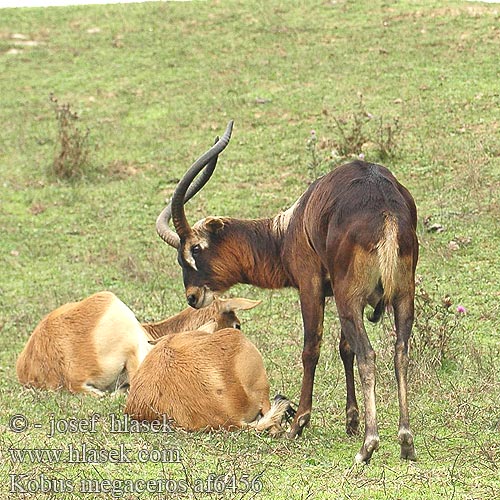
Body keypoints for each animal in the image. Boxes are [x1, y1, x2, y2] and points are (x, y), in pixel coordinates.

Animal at [155, 119, 418, 462]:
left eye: (195, 249)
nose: (193, 296)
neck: (290, 226)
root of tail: (385, 207)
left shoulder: (311, 287)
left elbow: (311, 349)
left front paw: (299, 424)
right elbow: (344, 349)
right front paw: (351, 421)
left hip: (350, 300)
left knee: (368, 353)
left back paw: (368, 446)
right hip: (400, 299)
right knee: (399, 351)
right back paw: (406, 441)